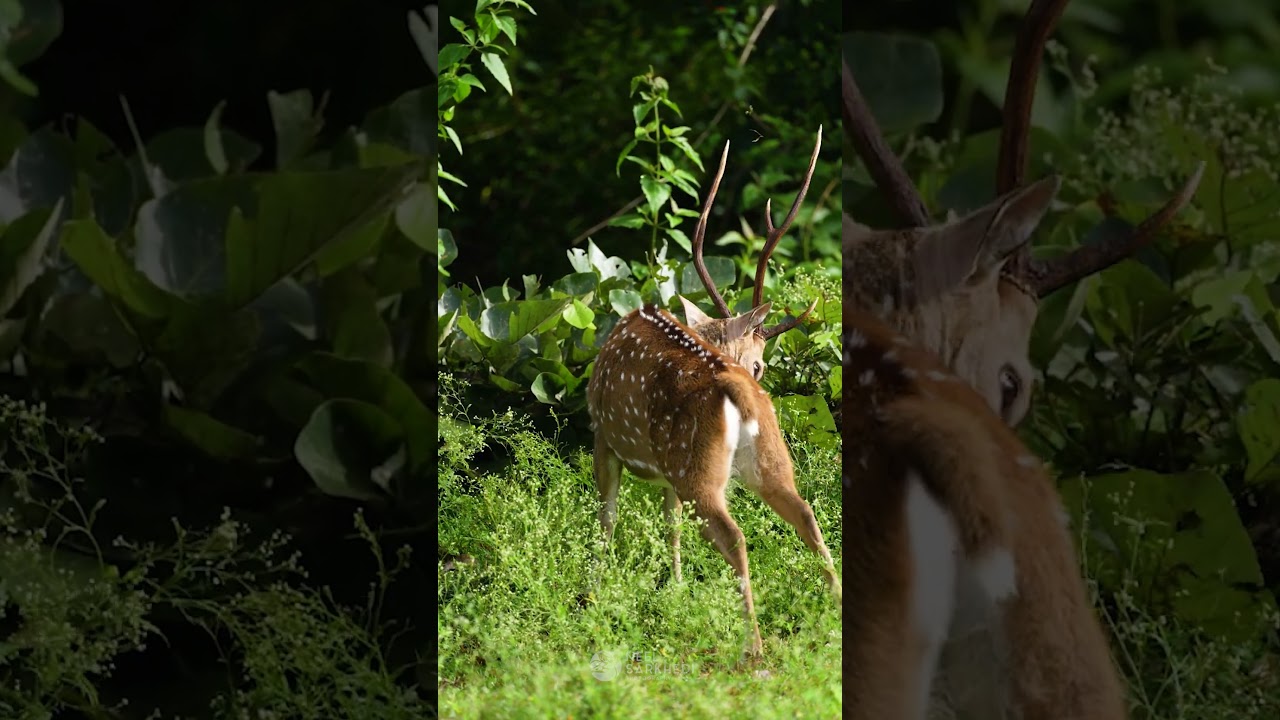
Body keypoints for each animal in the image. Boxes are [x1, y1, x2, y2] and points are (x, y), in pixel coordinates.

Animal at [585, 128, 840, 658]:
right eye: (761, 361)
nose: (757, 372)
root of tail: (739, 392)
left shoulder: (603, 434)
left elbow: (609, 516)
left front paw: (596, 588)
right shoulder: (663, 471)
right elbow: (671, 523)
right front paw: (678, 588)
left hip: (696, 466)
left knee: (733, 535)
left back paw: (753, 646)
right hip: (765, 459)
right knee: (805, 512)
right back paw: (835, 610)